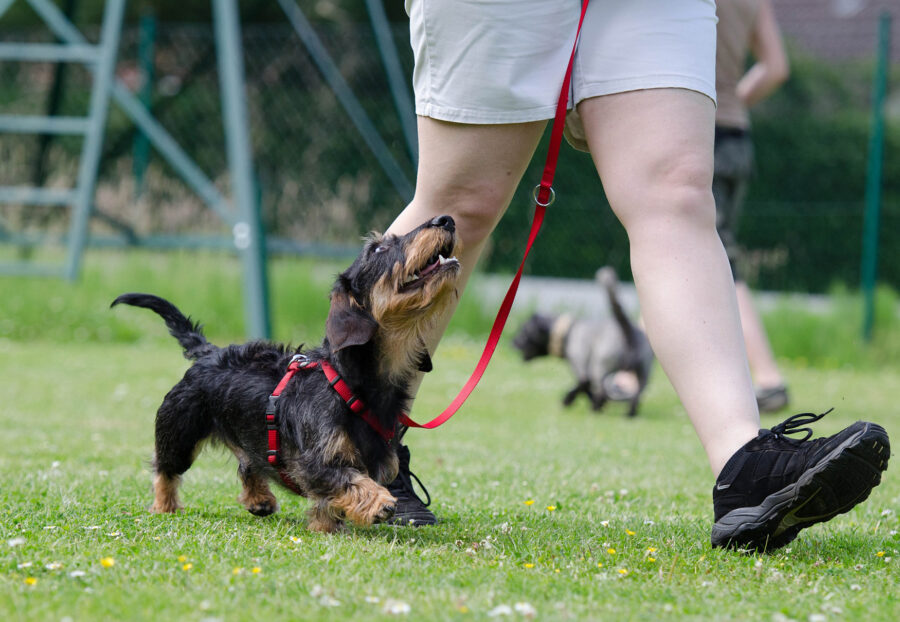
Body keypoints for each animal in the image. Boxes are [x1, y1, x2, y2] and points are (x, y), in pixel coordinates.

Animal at [512, 268, 652, 420]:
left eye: (523, 332)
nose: (511, 342)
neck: (567, 332)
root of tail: (628, 329)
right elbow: (584, 388)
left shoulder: (581, 368)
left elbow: (582, 387)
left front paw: (568, 400)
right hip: (643, 373)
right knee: (637, 395)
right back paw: (629, 414)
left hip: (601, 367)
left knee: (602, 390)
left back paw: (595, 408)